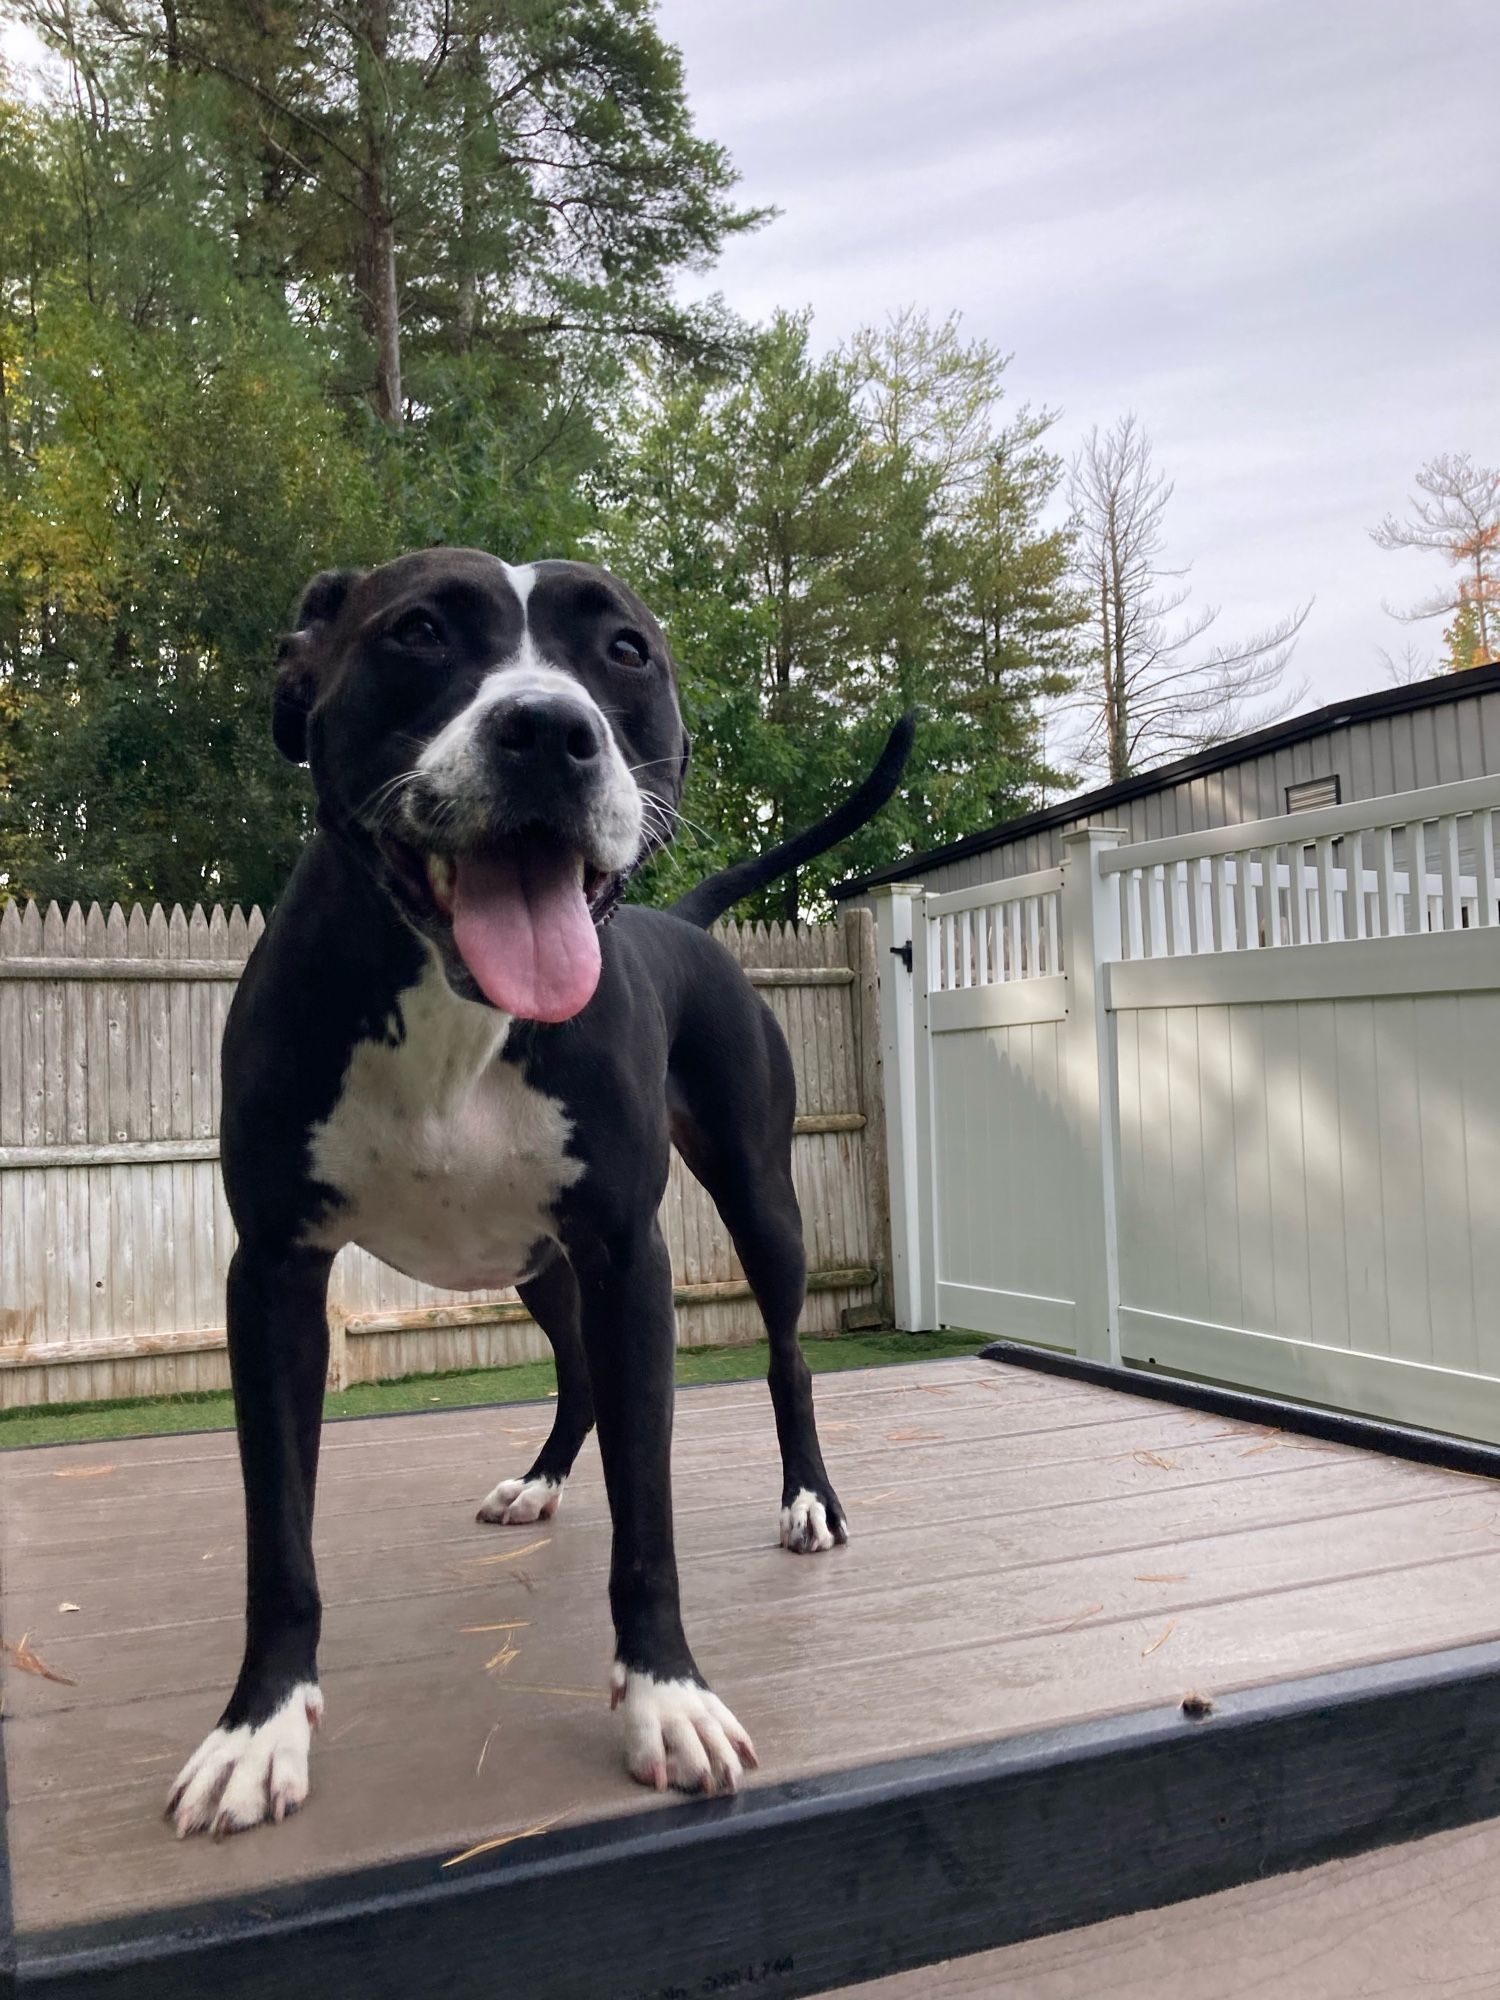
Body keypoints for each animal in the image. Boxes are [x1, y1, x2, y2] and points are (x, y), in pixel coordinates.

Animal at [167, 552, 916, 1840]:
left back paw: (808, 1499)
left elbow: (650, 1515)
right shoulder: (272, 1275)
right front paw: (256, 1729)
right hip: (536, 1265)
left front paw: (667, 1695)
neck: (452, 999)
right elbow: (279, 1540)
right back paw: (544, 1477)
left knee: (787, 1353)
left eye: (624, 651)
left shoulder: (631, 1260)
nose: (550, 730)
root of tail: (683, 917)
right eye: (417, 630)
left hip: (759, 1203)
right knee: (574, 1373)